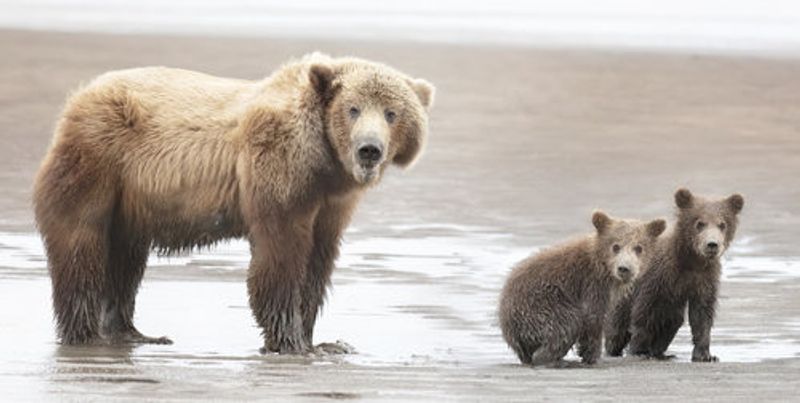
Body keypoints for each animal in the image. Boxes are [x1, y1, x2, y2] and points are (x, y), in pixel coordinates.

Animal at [33, 53, 435, 354]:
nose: (369, 149)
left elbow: (318, 262)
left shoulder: (332, 202)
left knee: (125, 259)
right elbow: (281, 252)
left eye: (392, 113)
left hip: (130, 203)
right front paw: (291, 341)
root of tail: (80, 97)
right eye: (353, 108)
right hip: (98, 160)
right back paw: (86, 334)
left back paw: (133, 332)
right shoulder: (279, 167)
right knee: (81, 246)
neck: (325, 161)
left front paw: (323, 341)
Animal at [498, 211, 666, 366]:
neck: (606, 271)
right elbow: (592, 318)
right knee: (567, 325)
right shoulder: (590, 284)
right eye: (616, 246)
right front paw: (594, 357)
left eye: (639, 247)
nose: (624, 268)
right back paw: (553, 359)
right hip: (540, 308)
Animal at [604, 188, 744, 362]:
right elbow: (644, 312)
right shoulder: (658, 276)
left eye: (722, 224)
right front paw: (638, 350)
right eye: (700, 223)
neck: (691, 261)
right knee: (617, 328)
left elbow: (702, 314)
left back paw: (661, 353)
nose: (712, 244)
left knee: (672, 321)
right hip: (622, 299)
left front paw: (706, 355)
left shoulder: (704, 279)